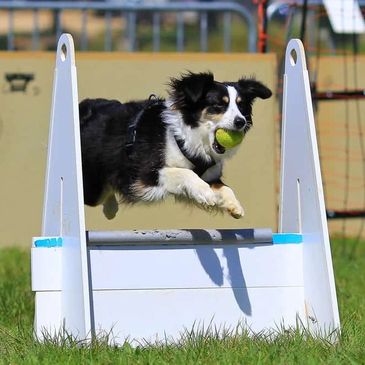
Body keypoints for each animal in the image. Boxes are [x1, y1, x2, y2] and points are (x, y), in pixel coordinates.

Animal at [81, 71, 272, 219]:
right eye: (219, 105)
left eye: (242, 106)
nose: (241, 122)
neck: (189, 138)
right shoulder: (146, 175)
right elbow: (184, 172)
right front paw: (206, 193)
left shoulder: (210, 175)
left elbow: (224, 187)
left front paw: (234, 205)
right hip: (92, 186)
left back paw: (110, 209)